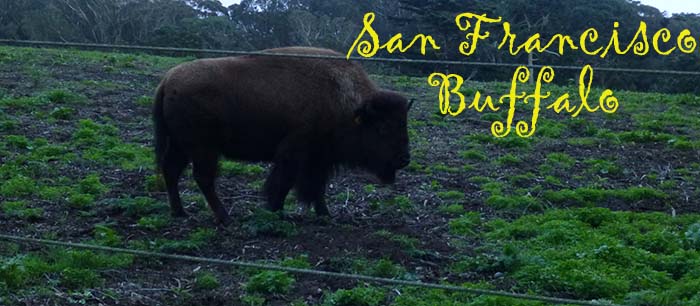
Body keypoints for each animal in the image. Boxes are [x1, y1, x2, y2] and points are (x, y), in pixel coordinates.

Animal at [153, 47, 412, 225]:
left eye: (403, 124)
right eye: (382, 128)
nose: (404, 159)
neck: (345, 102)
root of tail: (167, 80)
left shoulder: (319, 159)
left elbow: (317, 187)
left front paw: (324, 214)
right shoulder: (295, 152)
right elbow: (285, 182)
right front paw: (275, 210)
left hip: (181, 146)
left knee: (172, 170)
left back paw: (180, 212)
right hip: (203, 149)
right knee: (203, 177)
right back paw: (224, 217)